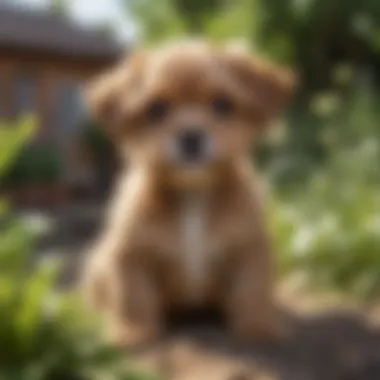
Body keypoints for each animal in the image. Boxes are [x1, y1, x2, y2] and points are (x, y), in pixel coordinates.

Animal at [82, 40, 294, 346]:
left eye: (222, 104)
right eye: (156, 108)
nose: (191, 136)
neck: (193, 194)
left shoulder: (250, 250)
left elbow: (252, 292)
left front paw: (259, 327)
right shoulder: (131, 255)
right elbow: (133, 298)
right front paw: (133, 331)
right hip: (97, 266)